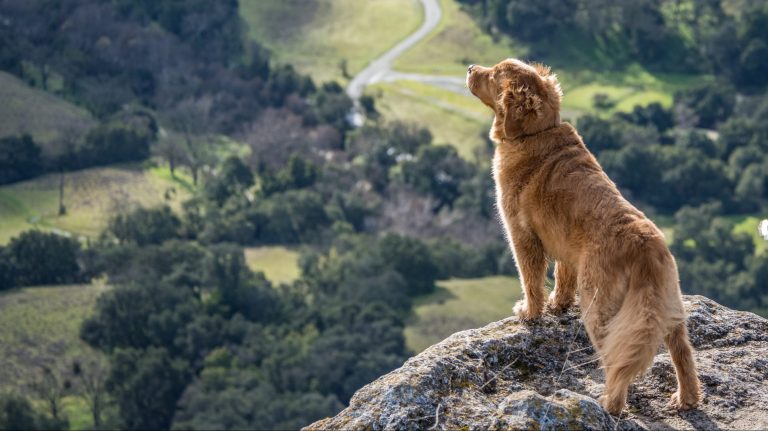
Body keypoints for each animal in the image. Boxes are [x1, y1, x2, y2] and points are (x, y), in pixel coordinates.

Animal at [468, 59, 704, 416]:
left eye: (494, 74)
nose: (470, 68)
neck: (536, 132)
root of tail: (645, 245)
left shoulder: (522, 235)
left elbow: (531, 280)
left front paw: (530, 312)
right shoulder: (565, 246)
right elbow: (562, 278)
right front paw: (558, 305)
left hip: (600, 306)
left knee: (619, 361)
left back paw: (609, 403)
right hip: (668, 306)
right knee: (683, 354)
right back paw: (686, 398)